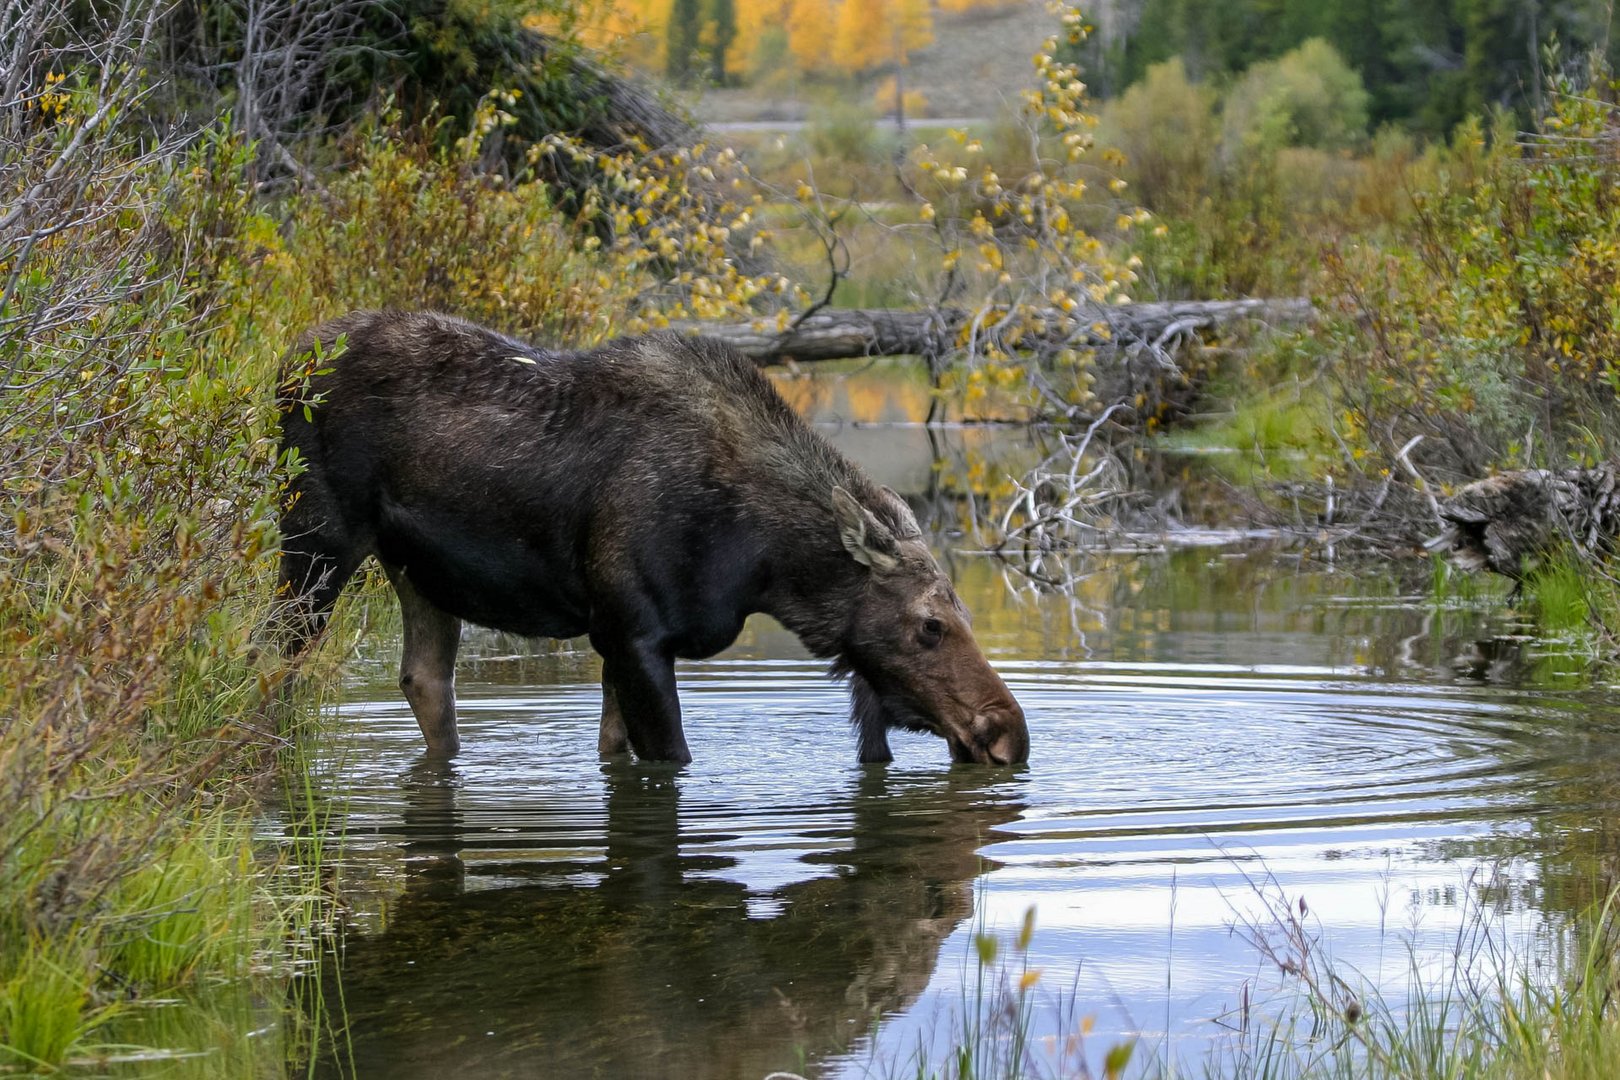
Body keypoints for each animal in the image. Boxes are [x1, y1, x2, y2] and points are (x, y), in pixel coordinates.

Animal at [275, 312, 1023, 767]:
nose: (1007, 734)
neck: (762, 565)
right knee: (275, 664)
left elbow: (615, 752)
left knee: (425, 680)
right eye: (929, 625)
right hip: (316, 543)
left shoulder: (619, 637)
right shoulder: (635, 634)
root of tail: (281, 365)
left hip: (420, 570)